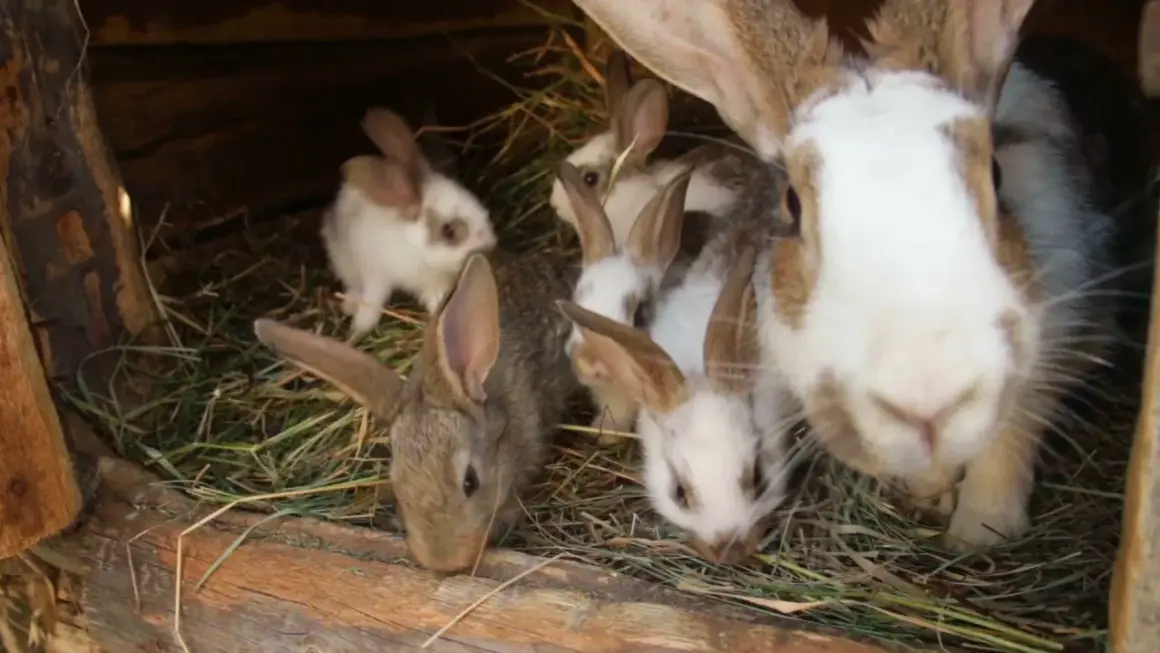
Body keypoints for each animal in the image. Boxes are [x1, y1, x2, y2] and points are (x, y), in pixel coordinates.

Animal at [322, 106, 498, 339]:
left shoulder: (430, 282)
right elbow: (371, 305)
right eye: (449, 231)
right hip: (343, 260)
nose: (490, 246)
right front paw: (357, 332)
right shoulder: (377, 276)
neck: (413, 246)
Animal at [573, 0, 1149, 551]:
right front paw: (929, 496)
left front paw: (979, 534)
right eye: (793, 204)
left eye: (995, 172)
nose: (927, 394)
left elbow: (1007, 447)